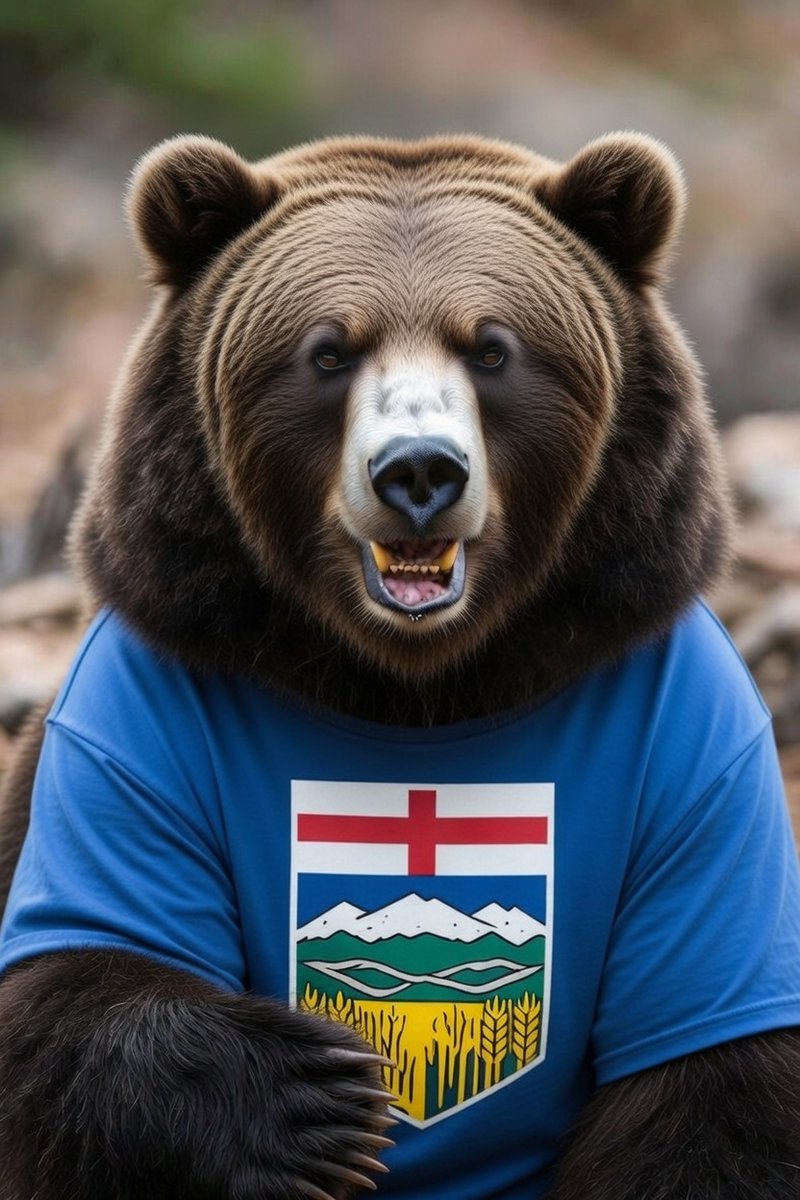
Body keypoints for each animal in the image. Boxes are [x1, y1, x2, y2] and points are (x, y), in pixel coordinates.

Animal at [0, 131, 799, 1200]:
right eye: (328, 352)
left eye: (492, 349)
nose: (419, 471)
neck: (415, 684)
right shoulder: (136, 730)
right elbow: (72, 1000)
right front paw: (315, 1099)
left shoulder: (691, 758)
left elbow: (713, 1090)